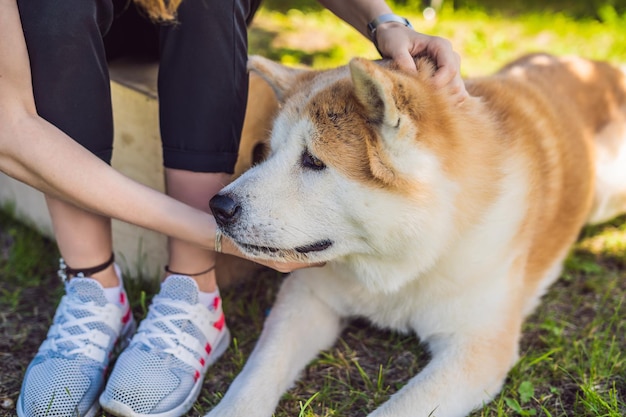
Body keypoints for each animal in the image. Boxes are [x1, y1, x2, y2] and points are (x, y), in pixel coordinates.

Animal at [206, 52, 624, 416]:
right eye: (270, 151)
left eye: (313, 161)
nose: (218, 206)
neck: (402, 261)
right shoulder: (306, 298)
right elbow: (257, 373)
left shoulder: (477, 348)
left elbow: (399, 409)